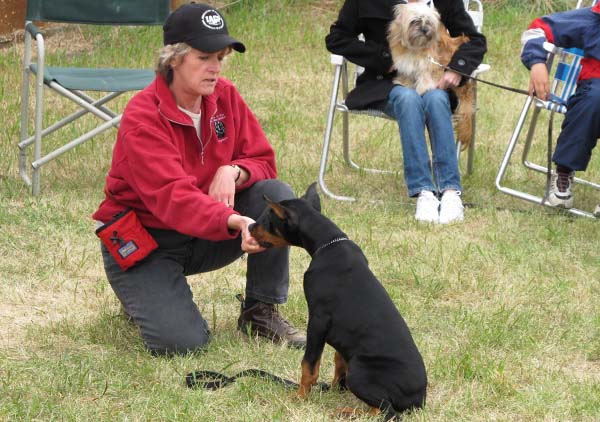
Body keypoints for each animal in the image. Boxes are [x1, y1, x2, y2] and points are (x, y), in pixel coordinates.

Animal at [248, 183, 426, 420]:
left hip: (359, 371)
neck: (328, 244)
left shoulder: (318, 320)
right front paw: (333, 389)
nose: (249, 227)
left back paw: (345, 411)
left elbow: (309, 365)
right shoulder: (340, 336)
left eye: (269, 218)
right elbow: (338, 360)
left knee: (385, 411)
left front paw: (300, 396)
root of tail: (418, 398)